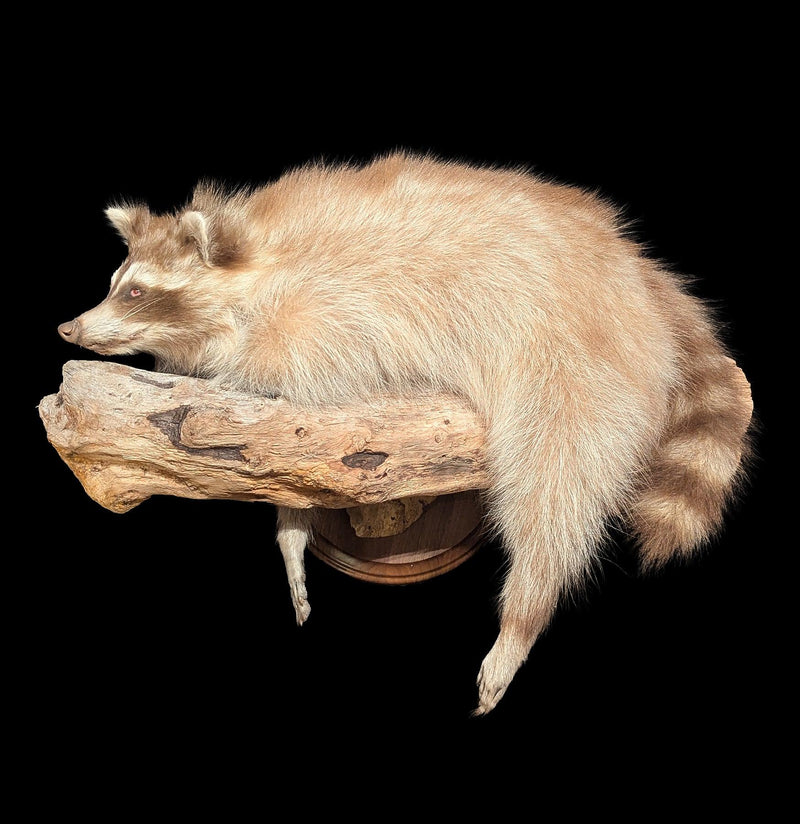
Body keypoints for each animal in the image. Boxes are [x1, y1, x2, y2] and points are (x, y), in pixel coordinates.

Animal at [57, 152, 753, 715]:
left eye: (138, 292)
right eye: (114, 285)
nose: (68, 328)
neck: (256, 265)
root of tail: (632, 266)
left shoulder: (329, 321)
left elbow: (313, 420)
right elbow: (289, 452)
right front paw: (292, 530)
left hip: (574, 347)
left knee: (558, 477)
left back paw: (525, 610)